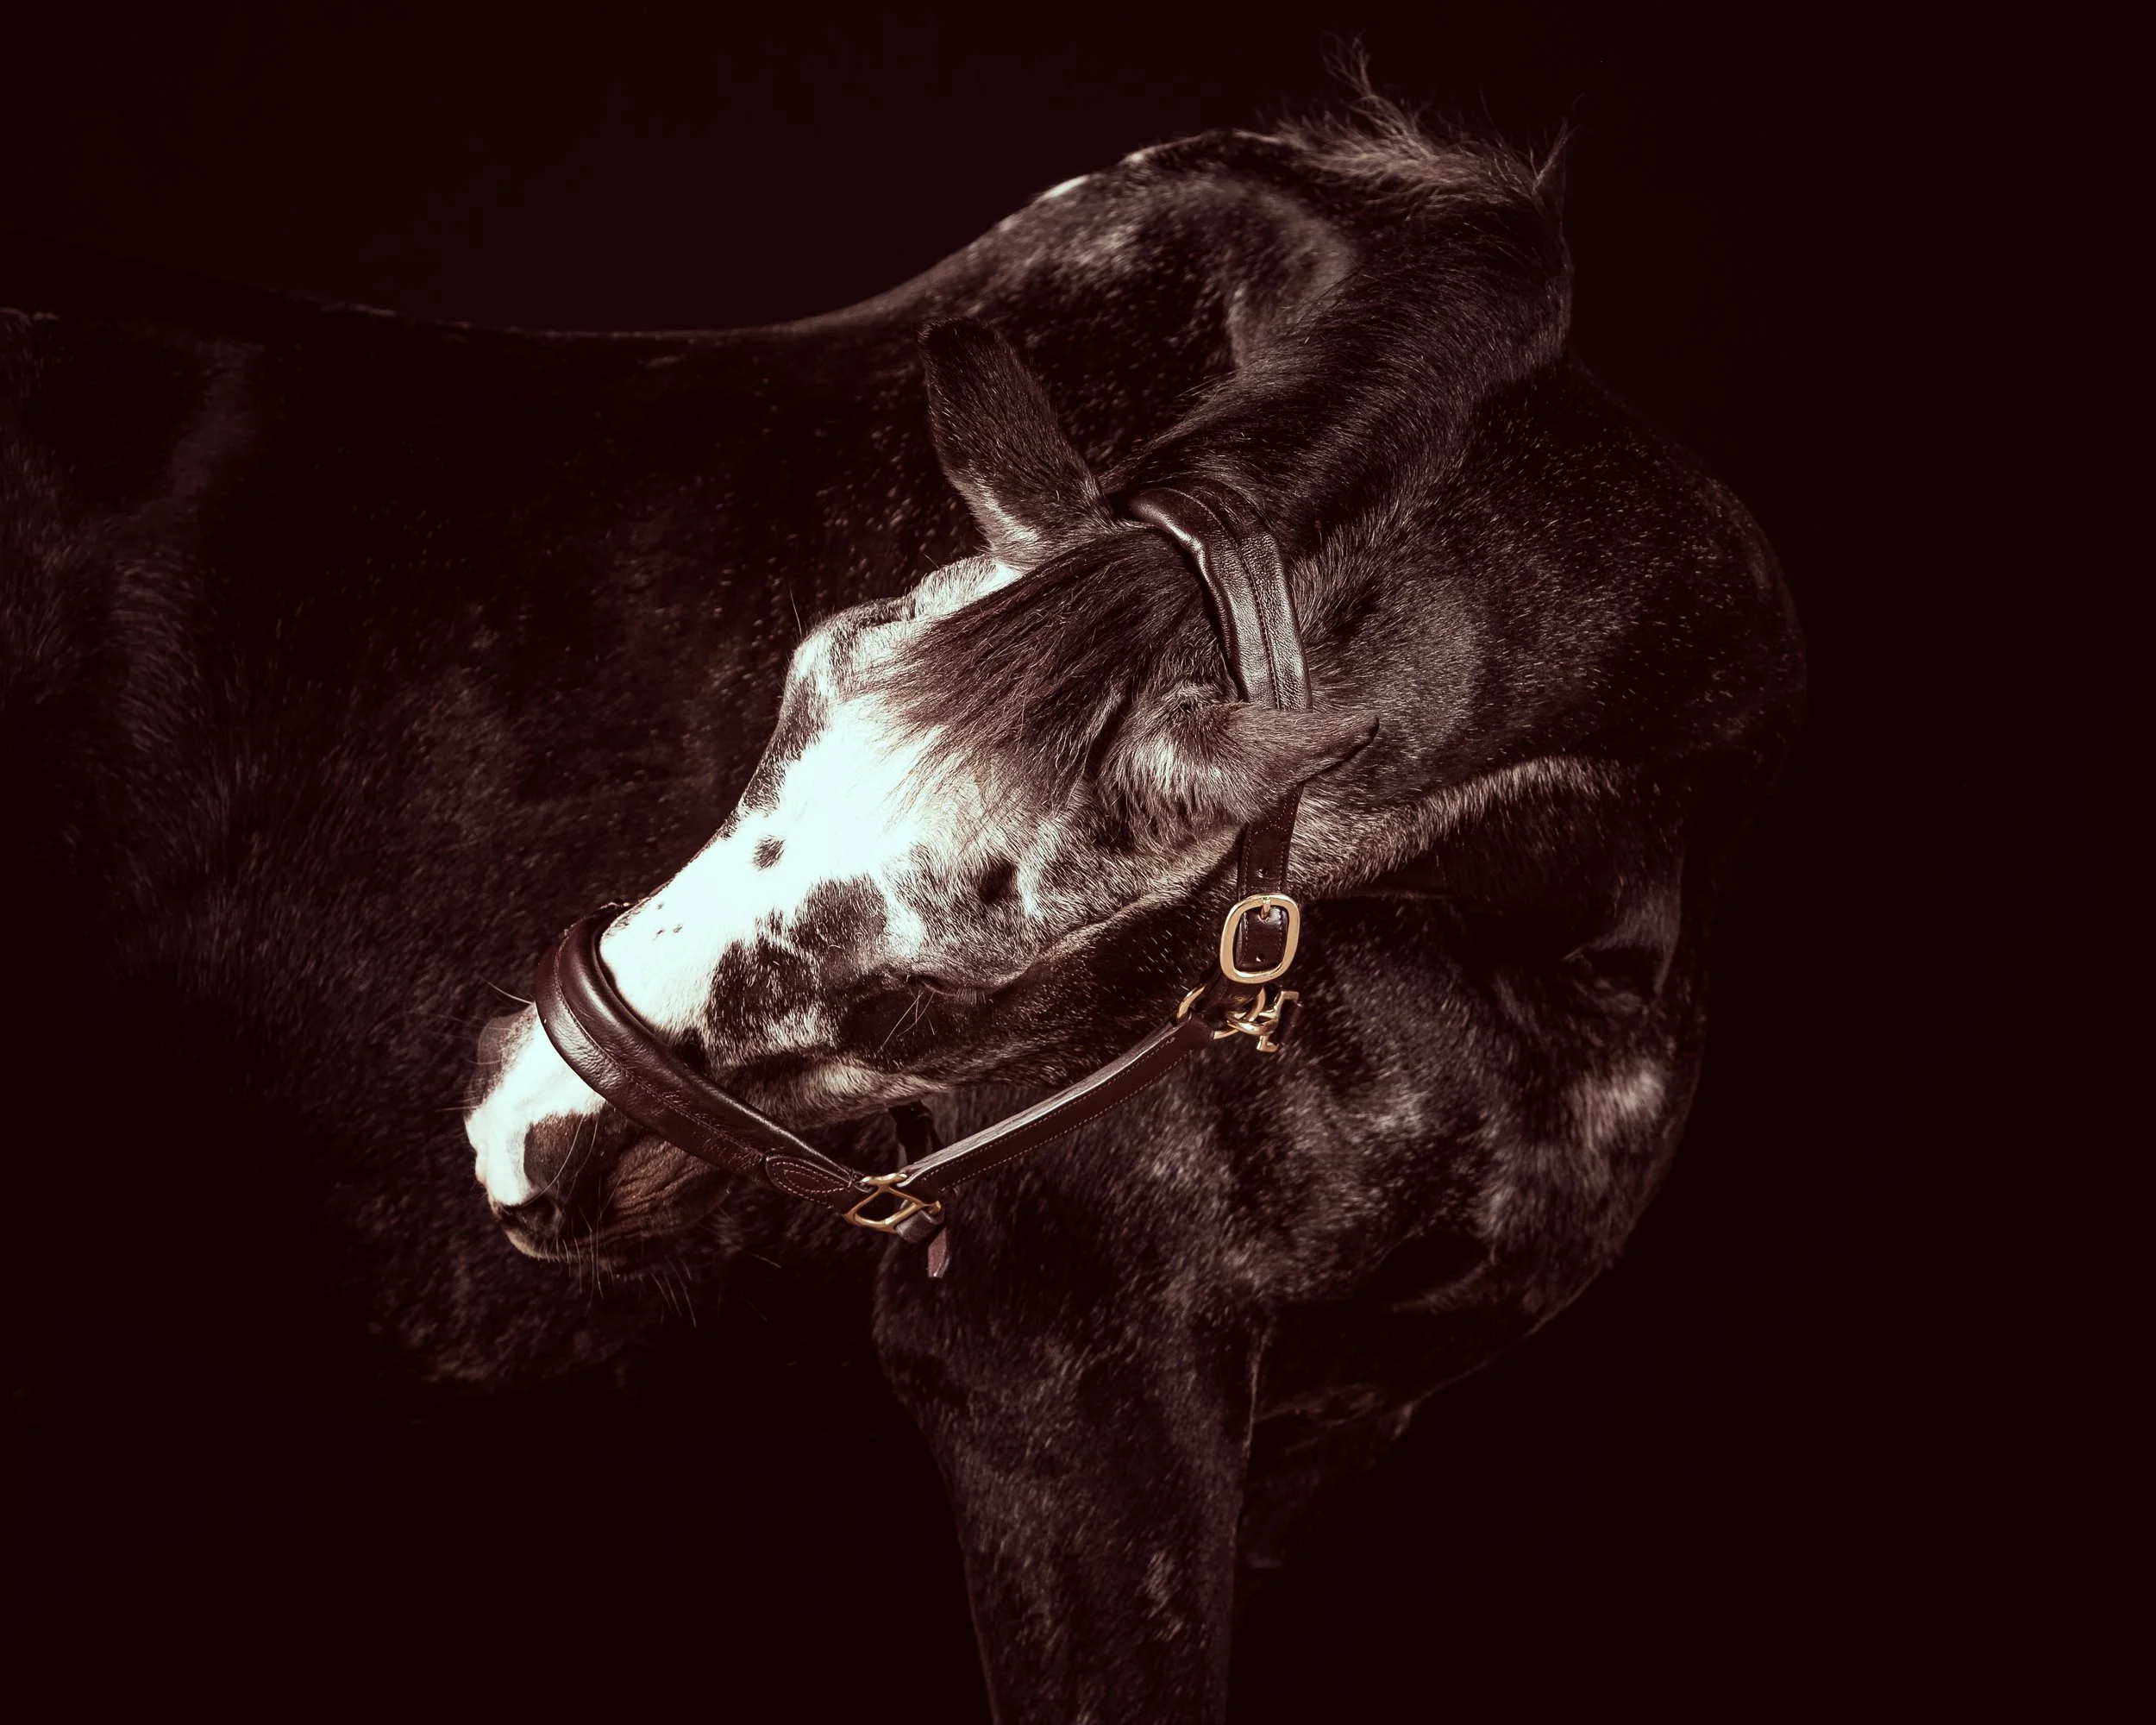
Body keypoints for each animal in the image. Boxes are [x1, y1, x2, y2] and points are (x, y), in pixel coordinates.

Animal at [4, 102, 1798, 1719]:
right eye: (794, 688)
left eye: (948, 990)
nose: (518, 1125)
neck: (1571, 929)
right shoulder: (1065, 1408)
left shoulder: (1326, 1431)